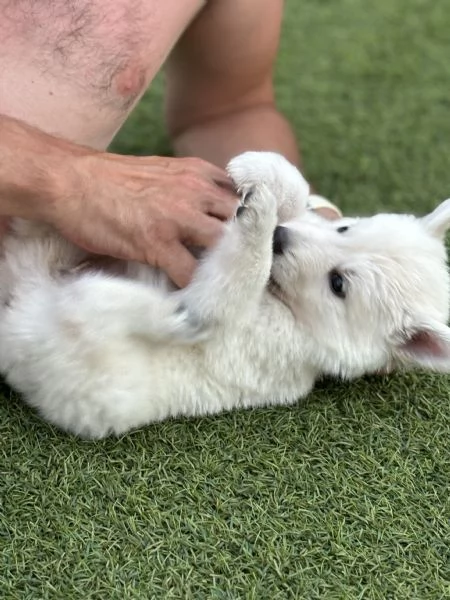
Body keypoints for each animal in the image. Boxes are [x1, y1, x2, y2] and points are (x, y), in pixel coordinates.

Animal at [0, 152, 450, 438]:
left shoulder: (257, 332)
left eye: (338, 284)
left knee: (126, 307)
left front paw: (258, 217)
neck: (289, 304)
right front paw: (259, 168)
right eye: (344, 229)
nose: (278, 239)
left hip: (96, 366)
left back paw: (184, 309)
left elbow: (239, 279)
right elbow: (299, 193)